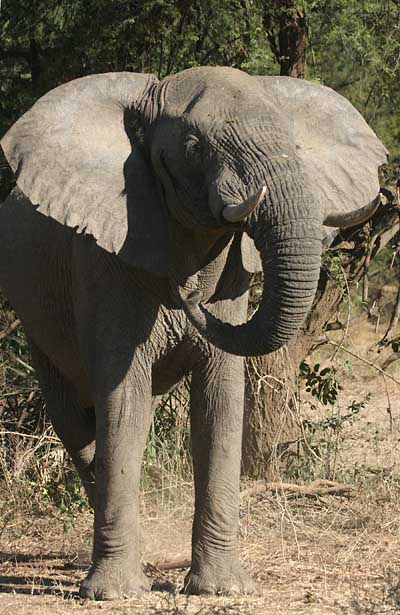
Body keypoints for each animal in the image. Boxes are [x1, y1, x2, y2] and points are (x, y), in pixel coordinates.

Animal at [0, 68, 388, 600]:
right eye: (192, 147)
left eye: (295, 144)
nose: (188, 296)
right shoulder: (105, 262)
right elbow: (124, 403)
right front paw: (116, 594)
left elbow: (219, 405)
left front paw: (222, 588)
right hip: (35, 318)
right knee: (75, 422)